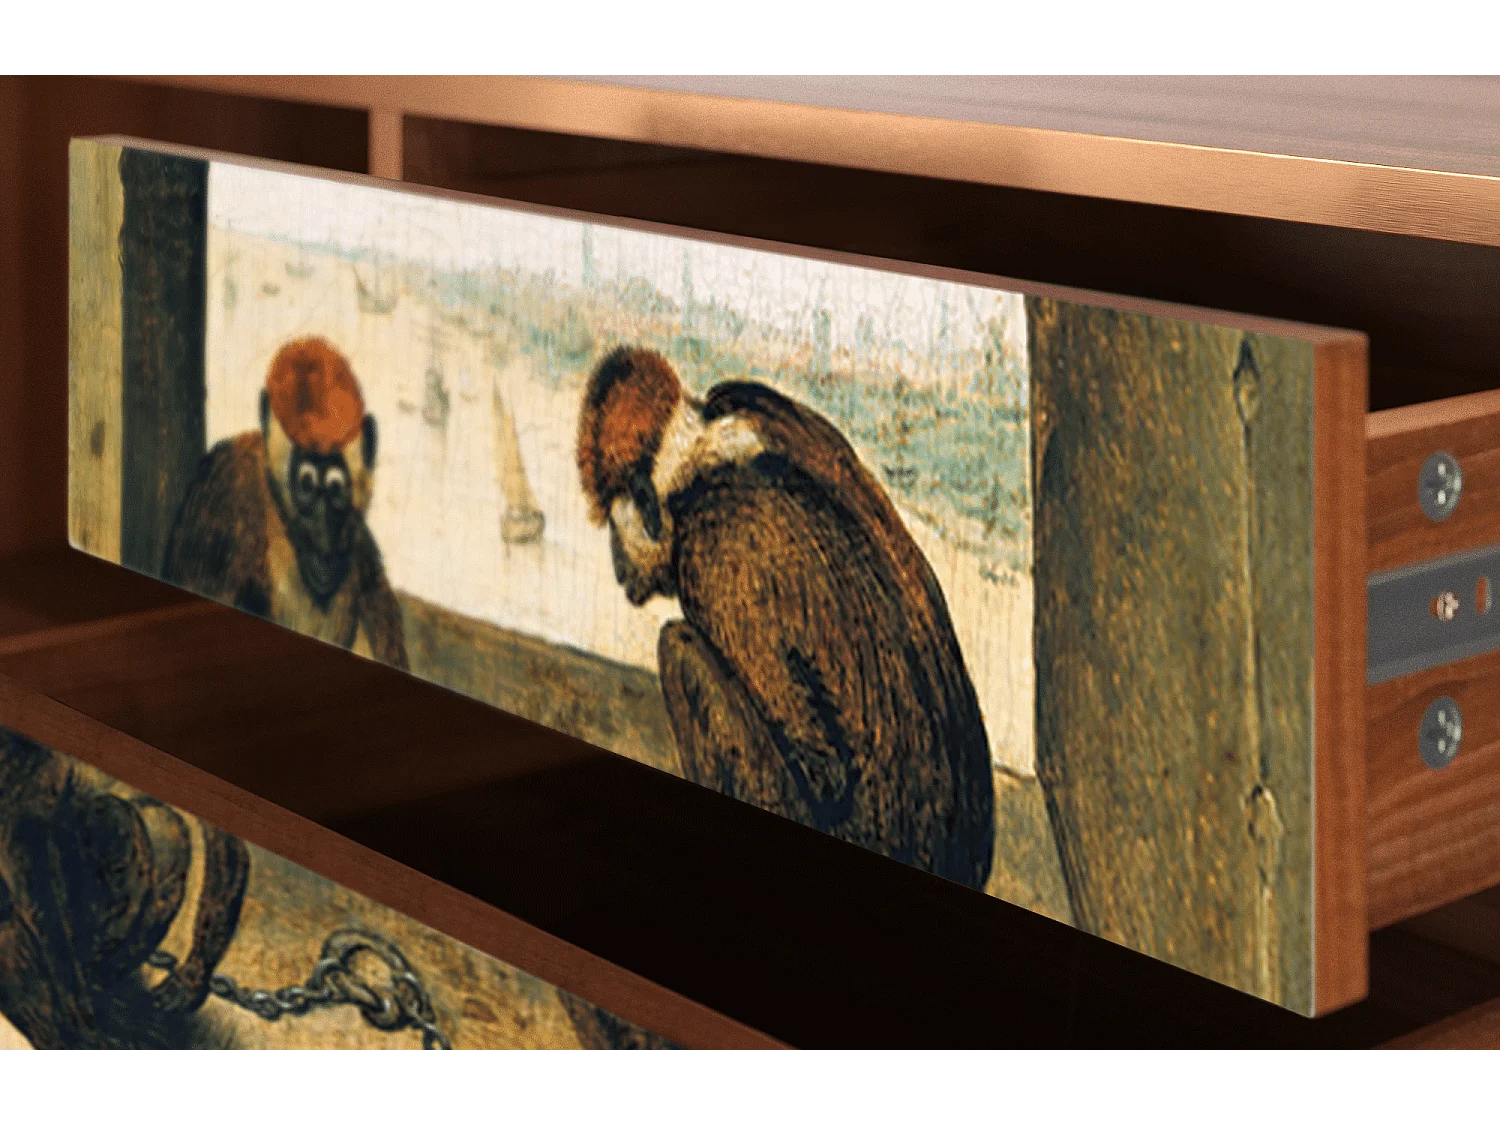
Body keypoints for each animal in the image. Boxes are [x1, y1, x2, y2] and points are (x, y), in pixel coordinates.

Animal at [577, 346, 995, 891]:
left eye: (614, 525)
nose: (616, 564)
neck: (708, 464)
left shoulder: (715, 554)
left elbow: (825, 771)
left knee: (680, 651)